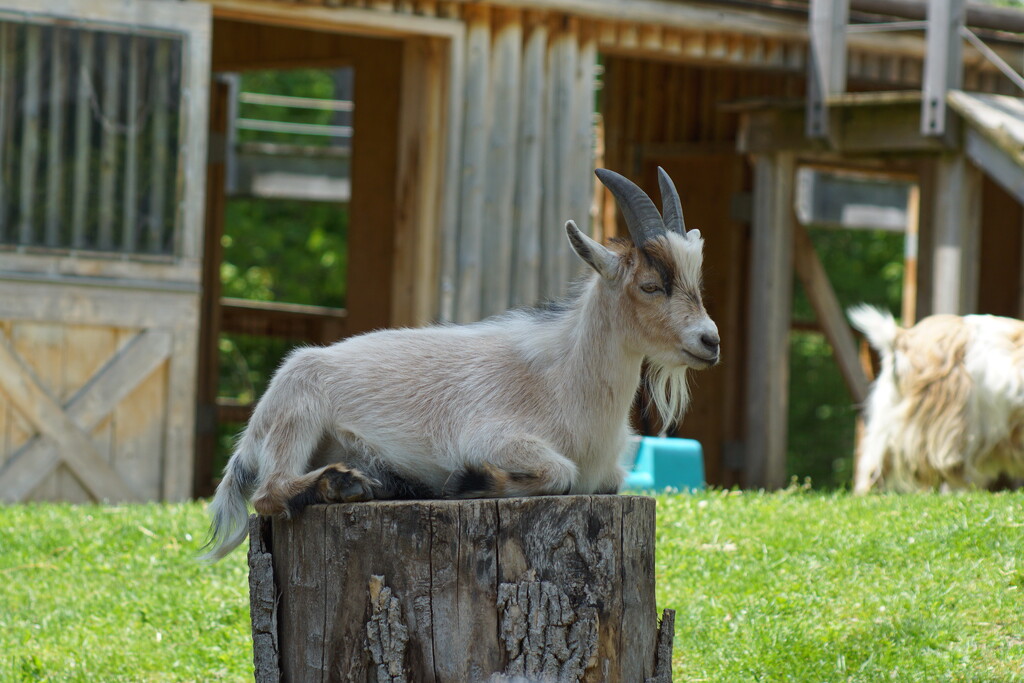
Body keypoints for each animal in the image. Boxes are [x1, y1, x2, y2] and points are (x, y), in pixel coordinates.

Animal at [202, 168, 720, 561]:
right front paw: (470, 480)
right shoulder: (489, 435)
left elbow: (604, 481)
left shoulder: (611, 474)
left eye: (696, 280)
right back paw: (344, 483)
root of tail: (253, 431)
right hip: (299, 409)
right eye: (650, 286)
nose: (710, 341)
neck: (565, 383)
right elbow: (560, 472)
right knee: (269, 491)